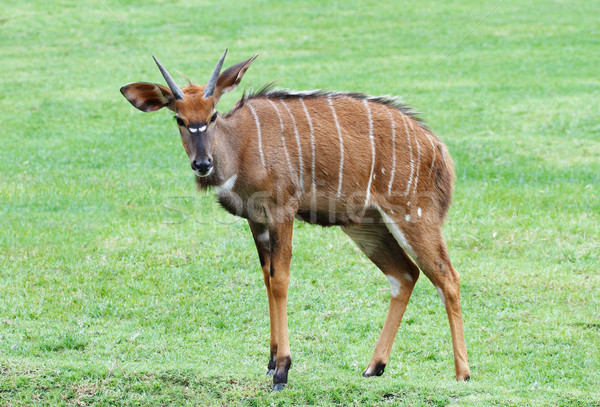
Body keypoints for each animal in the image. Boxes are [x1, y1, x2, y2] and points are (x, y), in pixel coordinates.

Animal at [119, 49, 472, 390]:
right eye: (179, 118)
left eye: (212, 115)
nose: (202, 164)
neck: (241, 146)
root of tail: (438, 148)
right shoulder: (256, 220)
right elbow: (266, 277)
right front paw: (270, 362)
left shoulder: (282, 210)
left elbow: (280, 280)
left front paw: (282, 371)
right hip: (366, 226)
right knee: (405, 274)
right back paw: (374, 367)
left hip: (412, 216)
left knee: (447, 277)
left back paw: (463, 374)